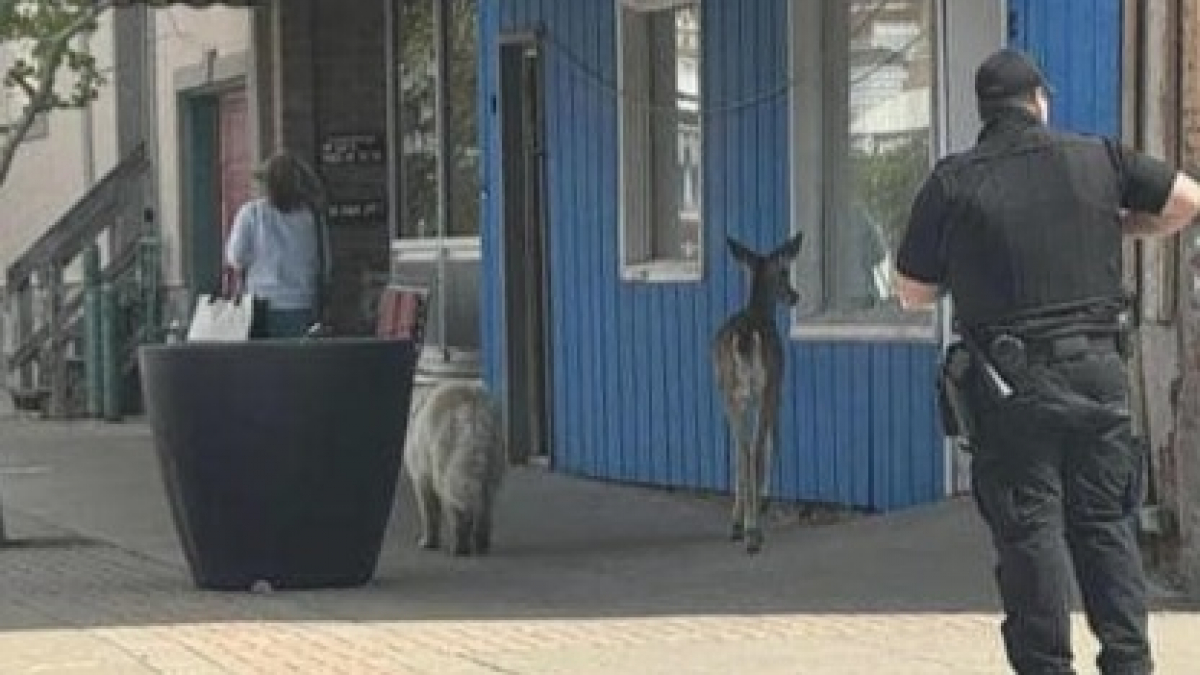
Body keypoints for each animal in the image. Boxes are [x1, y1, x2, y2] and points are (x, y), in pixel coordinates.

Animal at [710, 230, 806, 552]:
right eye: (784, 271)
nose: (794, 295)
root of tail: (744, 338)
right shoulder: (778, 388)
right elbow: (774, 441)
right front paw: (763, 501)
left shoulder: (736, 400)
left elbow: (738, 452)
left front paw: (740, 519)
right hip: (764, 389)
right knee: (756, 449)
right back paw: (754, 531)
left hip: (730, 393)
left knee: (741, 450)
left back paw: (738, 526)